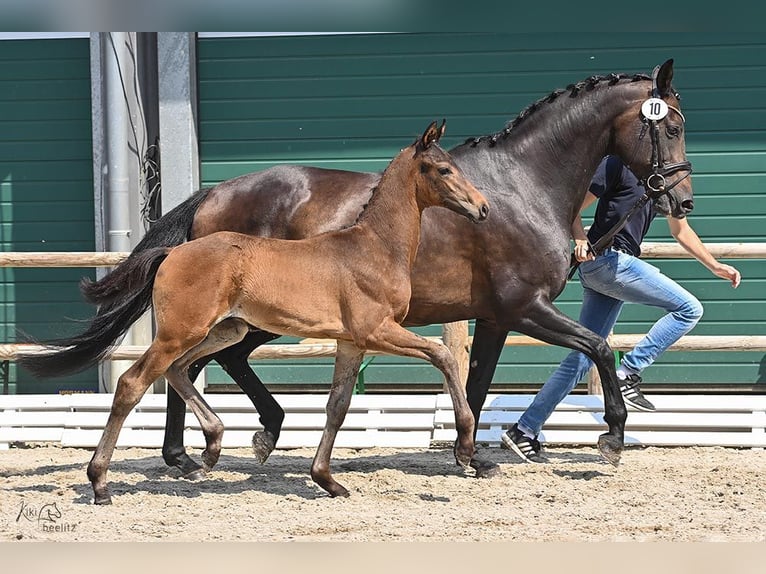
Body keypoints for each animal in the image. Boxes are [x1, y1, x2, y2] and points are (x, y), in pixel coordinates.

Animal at [85, 122, 492, 504]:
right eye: (443, 169)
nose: (483, 208)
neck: (375, 246)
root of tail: (173, 252)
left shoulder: (351, 343)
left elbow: (337, 407)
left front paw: (327, 480)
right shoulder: (376, 330)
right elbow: (442, 354)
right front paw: (464, 448)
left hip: (224, 331)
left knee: (178, 369)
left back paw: (212, 447)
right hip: (181, 332)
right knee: (133, 383)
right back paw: (101, 483)